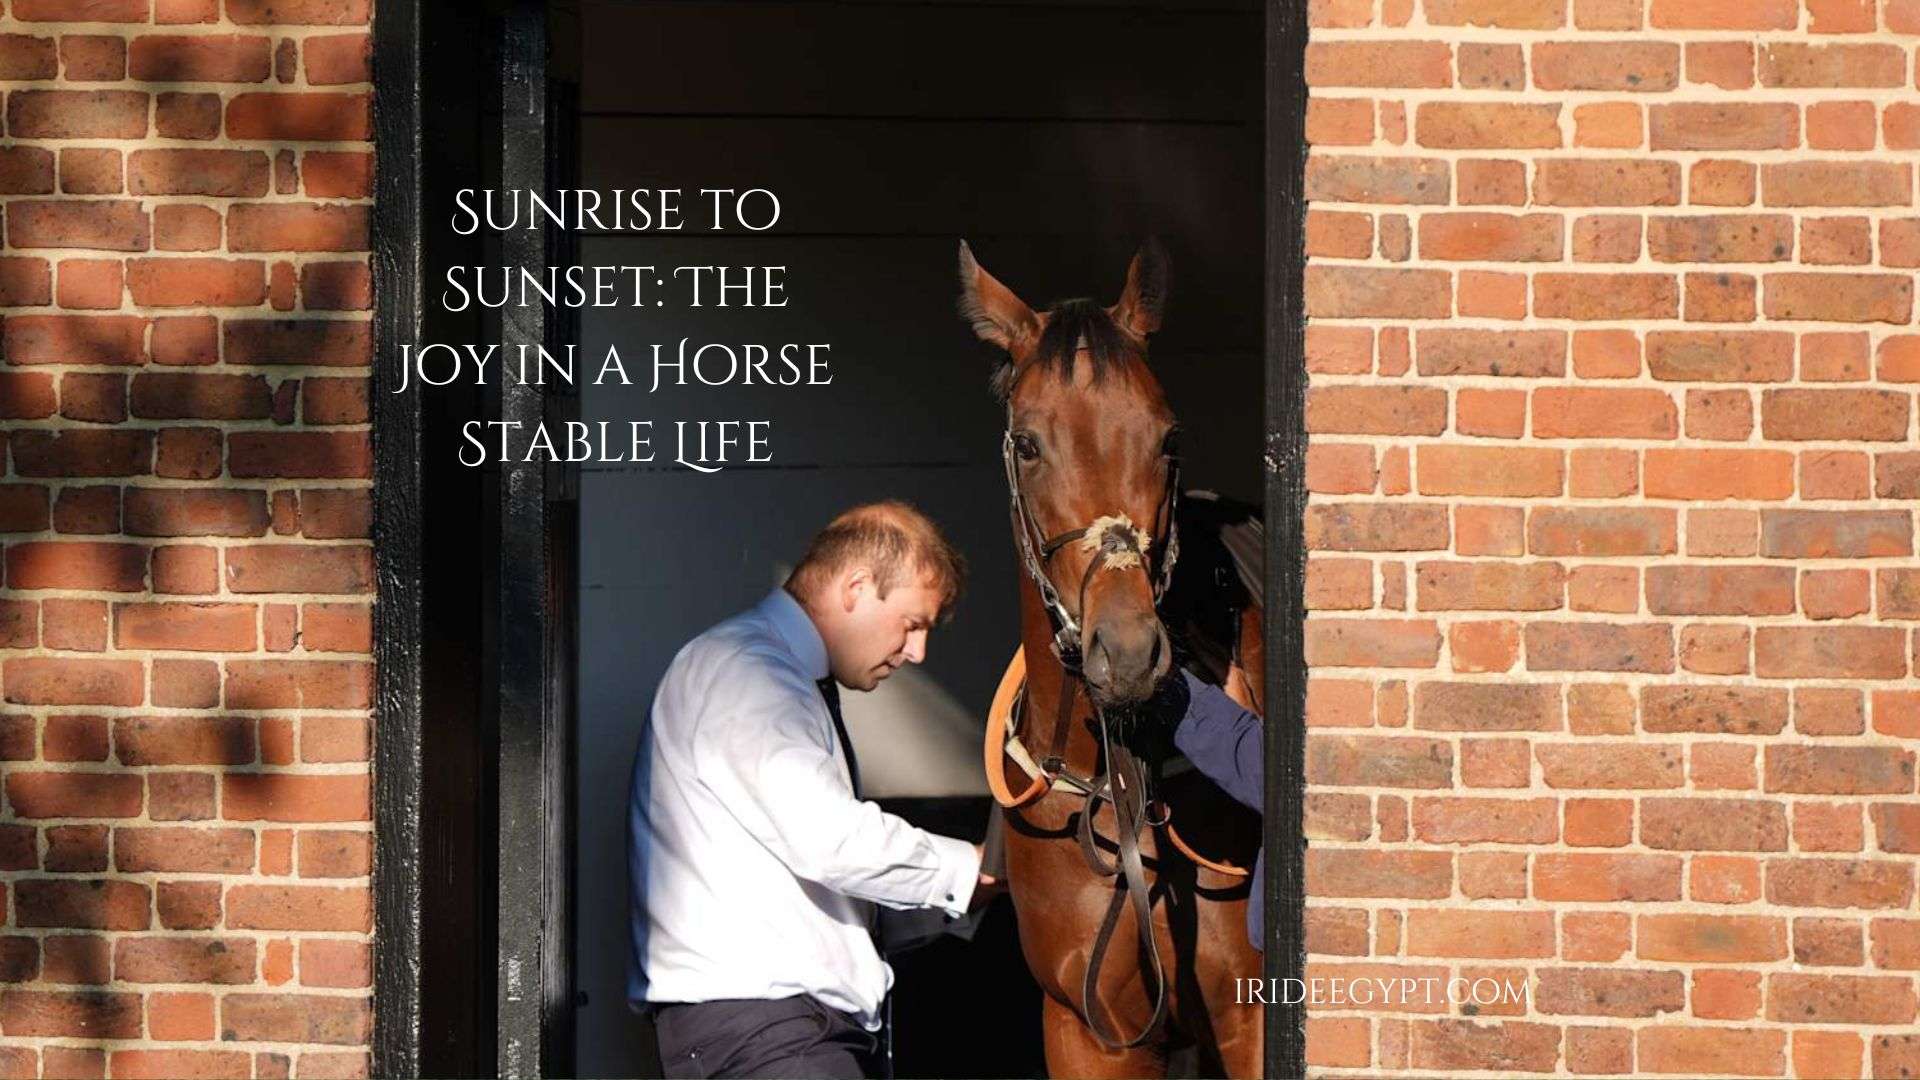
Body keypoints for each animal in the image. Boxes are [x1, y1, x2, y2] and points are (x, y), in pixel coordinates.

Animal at [956, 244, 1259, 1076]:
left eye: (1169, 438)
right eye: (1028, 444)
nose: (1125, 652)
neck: (1116, 777)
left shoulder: (1248, 1020)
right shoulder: (1084, 1028)